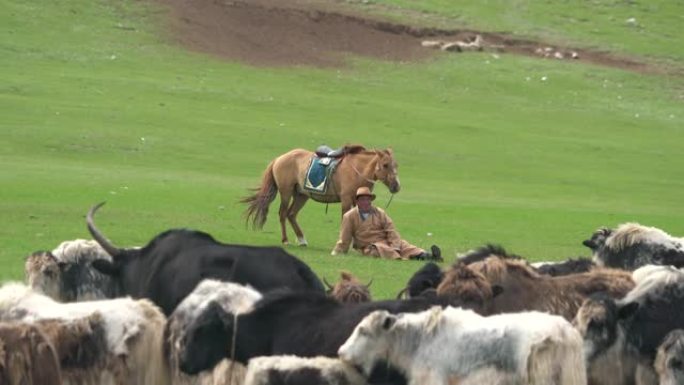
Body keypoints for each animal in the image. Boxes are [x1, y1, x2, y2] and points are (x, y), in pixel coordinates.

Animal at [243, 142, 398, 244]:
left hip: (302, 195)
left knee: (291, 214)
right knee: (283, 213)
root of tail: (279, 158)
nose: (396, 186)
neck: (357, 169)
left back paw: (302, 239)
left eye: (396, 165)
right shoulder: (346, 200)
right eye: (385, 165)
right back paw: (285, 240)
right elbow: (346, 219)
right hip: (286, 192)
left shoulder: (358, 200)